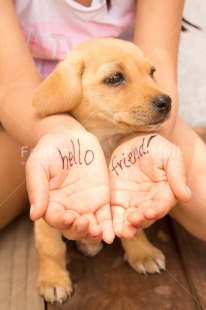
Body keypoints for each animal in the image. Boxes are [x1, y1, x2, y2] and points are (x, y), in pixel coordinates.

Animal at [33, 38, 171, 302]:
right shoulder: (43, 215)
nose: (167, 102)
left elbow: (134, 228)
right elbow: (49, 247)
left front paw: (143, 253)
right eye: (115, 78)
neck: (106, 142)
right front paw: (53, 279)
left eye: (152, 72)